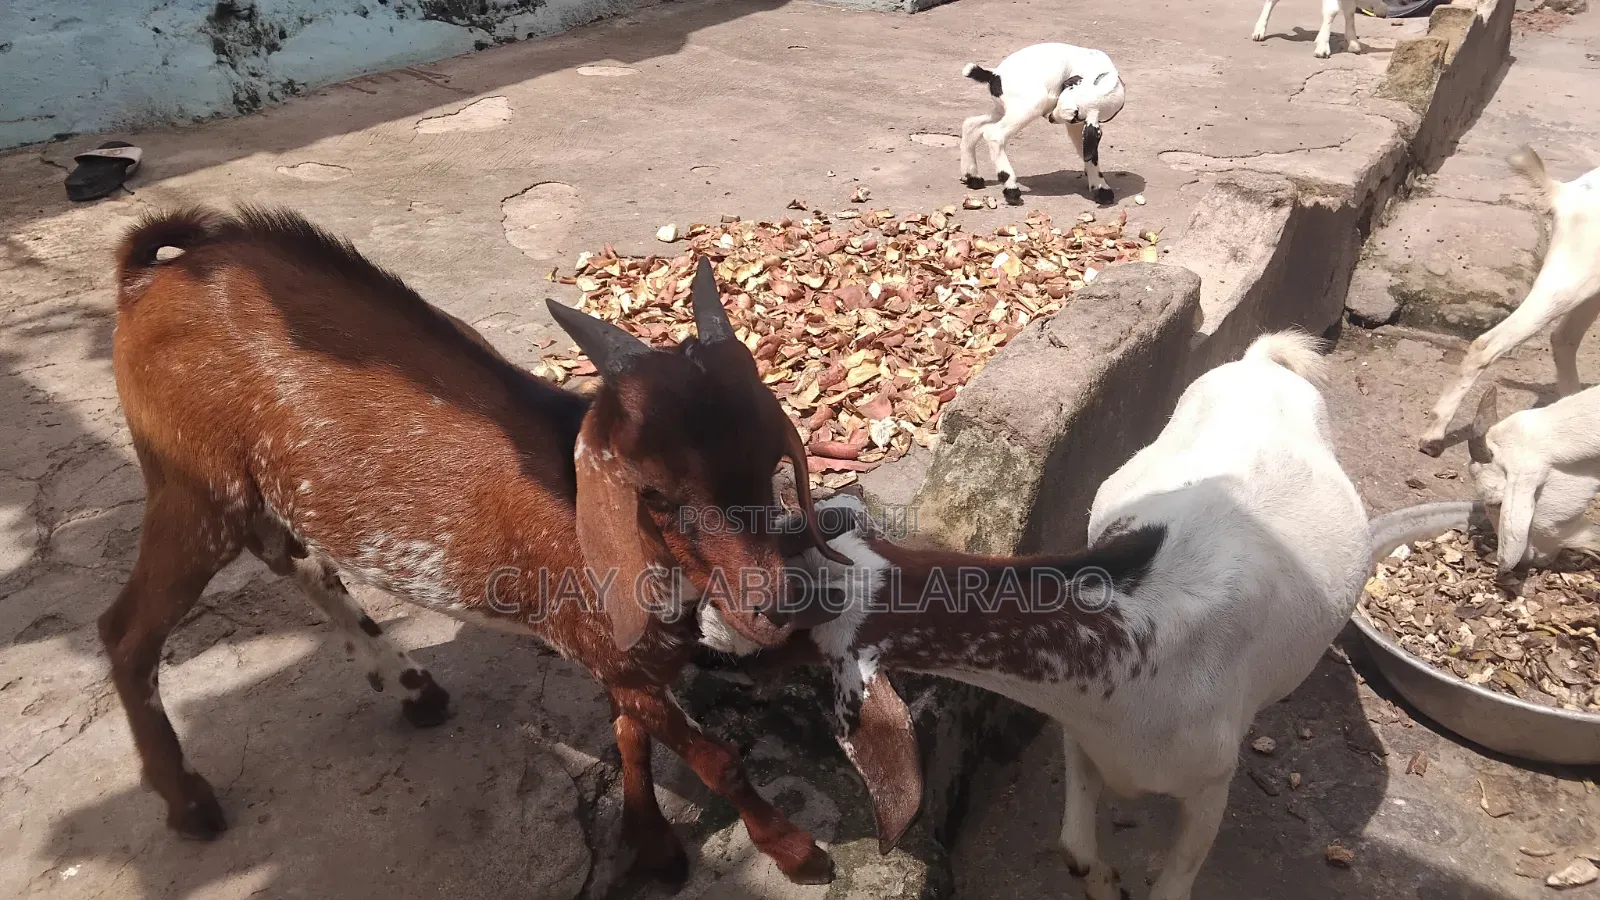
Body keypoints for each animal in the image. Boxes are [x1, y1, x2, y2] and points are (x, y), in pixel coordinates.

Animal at [100, 205, 876, 886]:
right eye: (655, 493)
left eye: (771, 461)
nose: (776, 606)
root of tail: (152, 273)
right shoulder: (605, 648)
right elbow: (717, 758)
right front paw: (795, 851)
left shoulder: (629, 661)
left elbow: (630, 736)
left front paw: (651, 845)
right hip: (191, 481)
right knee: (125, 629)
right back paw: (189, 803)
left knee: (292, 556)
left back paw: (414, 690)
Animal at [705, 331, 1371, 900]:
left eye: (774, 627)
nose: (704, 623)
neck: (1134, 657)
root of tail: (1261, 363)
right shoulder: (1079, 735)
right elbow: (1073, 845)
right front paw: (1106, 884)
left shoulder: (1210, 786)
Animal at [960, 42, 1127, 207]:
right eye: (1072, 119)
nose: (1051, 117)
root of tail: (995, 75)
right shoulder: (1076, 125)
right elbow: (1090, 154)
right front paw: (1101, 187)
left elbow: (1088, 151)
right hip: (1031, 105)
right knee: (994, 135)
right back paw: (1011, 188)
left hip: (1003, 110)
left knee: (971, 125)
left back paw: (972, 176)